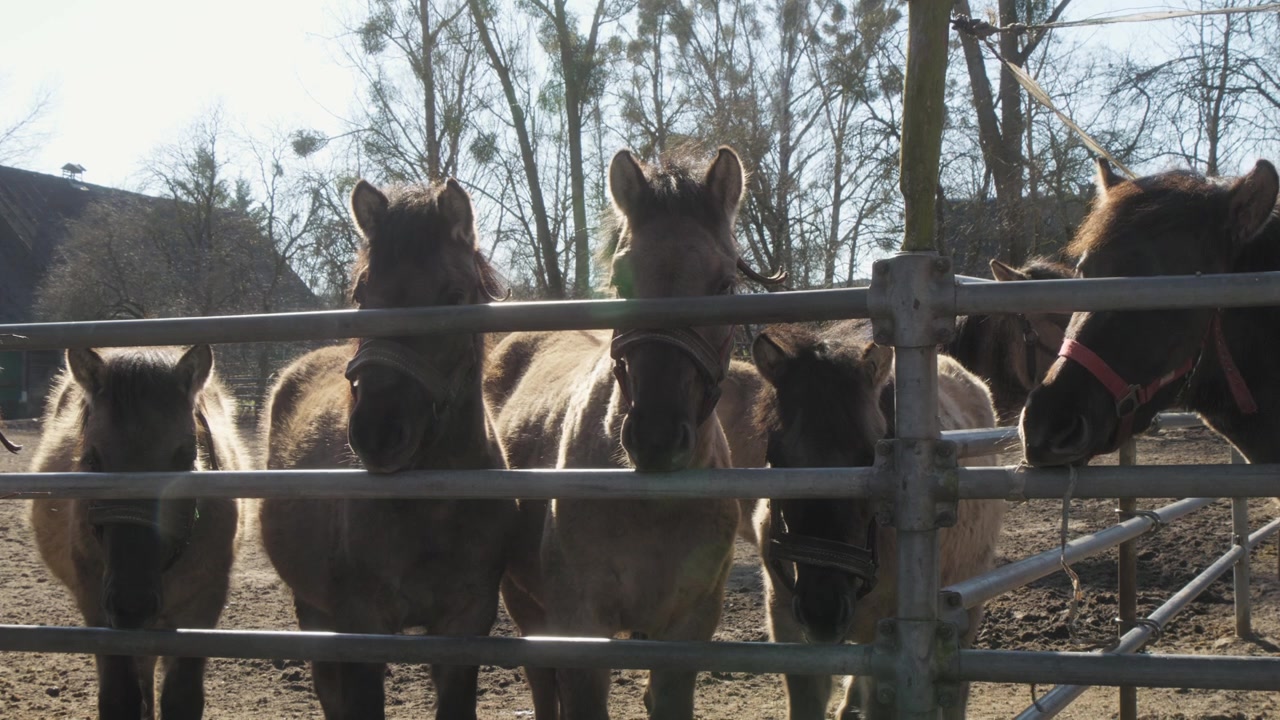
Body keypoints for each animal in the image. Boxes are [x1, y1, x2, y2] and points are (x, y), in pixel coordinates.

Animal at [29, 345, 245, 720]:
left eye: (185, 457)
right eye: (92, 460)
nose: (133, 602)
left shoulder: (203, 606)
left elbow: (182, 699)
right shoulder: (101, 612)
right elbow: (120, 697)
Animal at [258, 178, 518, 720]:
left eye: (453, 296)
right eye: (361, 293)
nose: (376, 433)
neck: (432, 508)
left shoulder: (466, 624)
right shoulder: (362, 625)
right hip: (312, 607)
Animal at [487, 146, 782, 719]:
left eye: (725, 286)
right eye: (622, 281)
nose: (656, 438)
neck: (652, 506)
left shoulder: (686, 631)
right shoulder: (580, 630)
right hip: (525, 605)